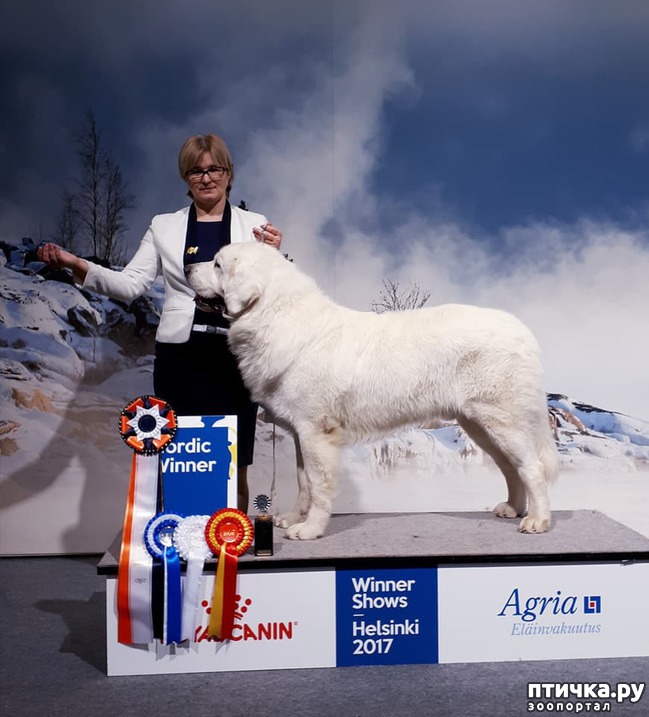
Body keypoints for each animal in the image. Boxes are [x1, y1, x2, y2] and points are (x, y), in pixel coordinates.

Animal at [186, 243, 556, 540]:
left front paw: (310, 529)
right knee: (511, 467)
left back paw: (537, 521)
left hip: (501, 421)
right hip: (479, 425)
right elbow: (304, 482)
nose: (187, 266)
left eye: (217, 264)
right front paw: (292, 518)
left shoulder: (315, 432)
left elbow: (318, 483)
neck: (274, 314)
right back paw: (513, 508)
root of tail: (521, 330)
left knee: (532, 467)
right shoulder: (300, 434)